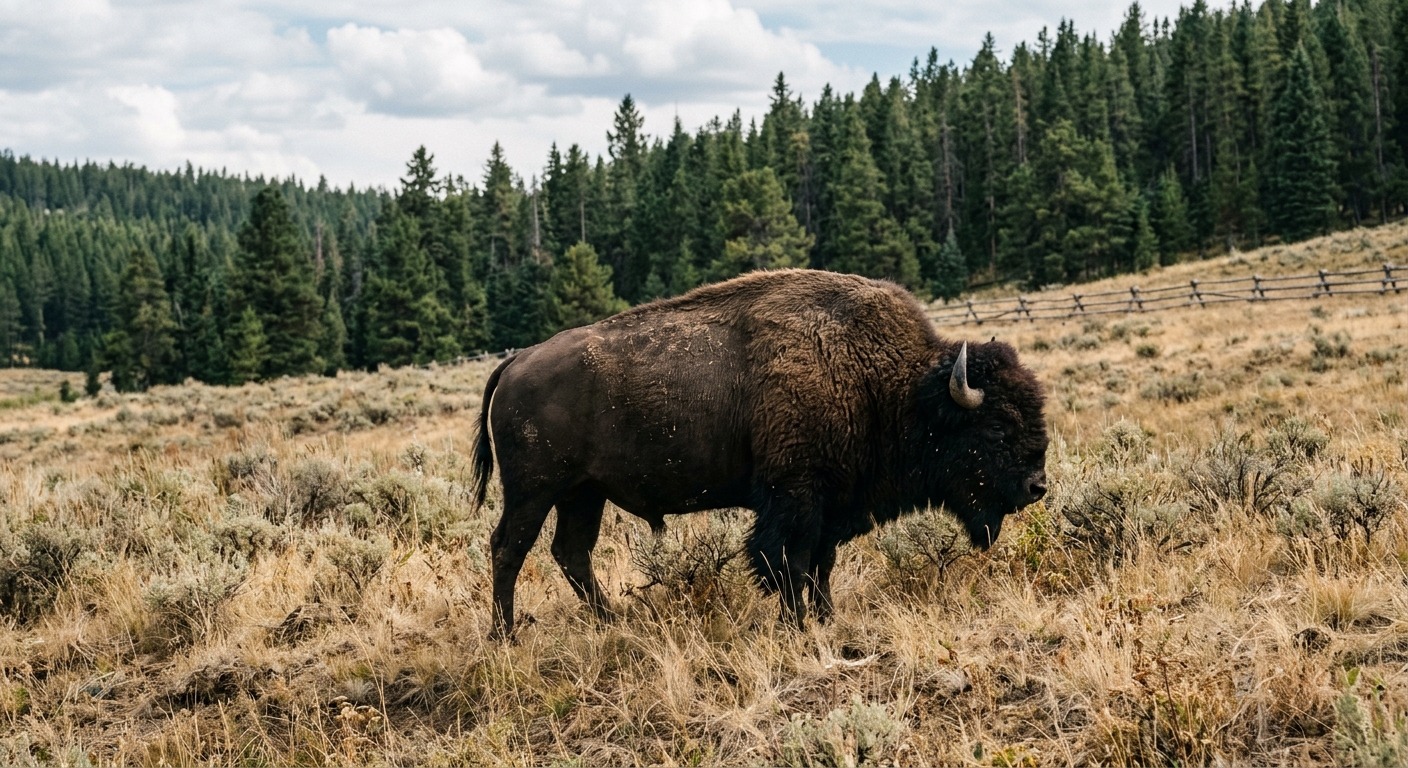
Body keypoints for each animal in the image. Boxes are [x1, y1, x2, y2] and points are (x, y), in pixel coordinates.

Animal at [471, 269, 1048, 637]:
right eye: (997, 427)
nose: (1037, 486)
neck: (888, 383)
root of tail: (518, 360)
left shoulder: (831, 502)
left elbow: (821, 564)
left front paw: (826, 618)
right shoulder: (794, 495)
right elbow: (789, 562)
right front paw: (797, 625)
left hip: (583, 494)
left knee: (571, 553)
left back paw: (613, 624)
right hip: (533, 491)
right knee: (508, 549)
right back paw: (505, 638)